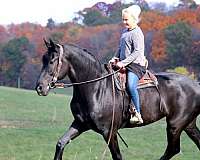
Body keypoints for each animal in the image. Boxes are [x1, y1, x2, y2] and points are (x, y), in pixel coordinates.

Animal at [36, 39, 200, 160]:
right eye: (43, 59)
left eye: (52, 60)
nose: (40, 87)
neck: (96, 88)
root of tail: (196, 84)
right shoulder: (80, 124)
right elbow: (61, 143)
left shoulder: (109, 132)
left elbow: (118, 156)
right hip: (188, 125)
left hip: (175, 125)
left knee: (173, 149)